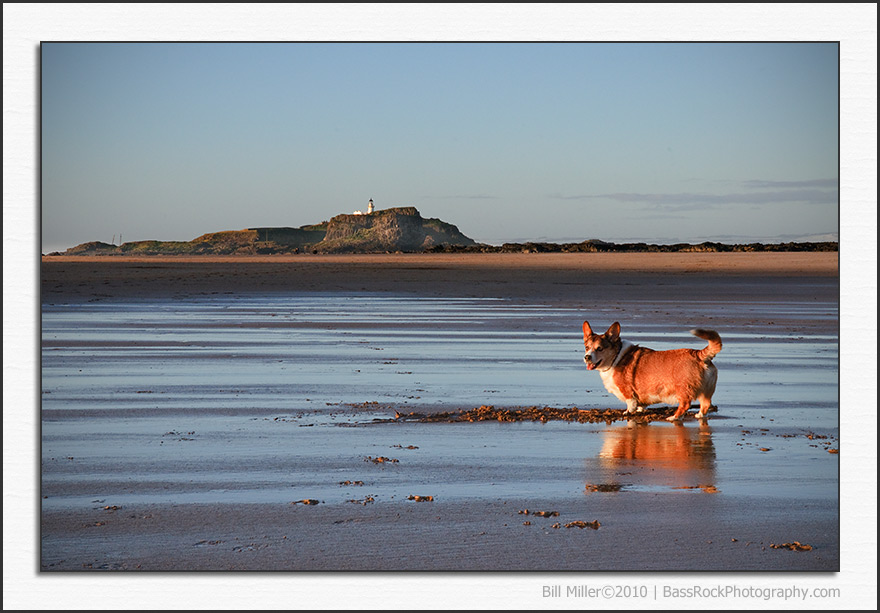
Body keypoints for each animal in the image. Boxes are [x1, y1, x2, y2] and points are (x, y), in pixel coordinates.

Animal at [584, 320, 720, 420]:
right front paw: (640, 410)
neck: (616, 357)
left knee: (685, 404)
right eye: (586, 347)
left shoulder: (627, 391)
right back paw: (699, 415)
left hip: (683, 388)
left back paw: (674, 417)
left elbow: (630, 403)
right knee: (706, 404)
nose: (587, 357)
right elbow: (640, 404)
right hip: (706, 391)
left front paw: (628, 412)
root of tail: (698, 354)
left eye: (600, 348)